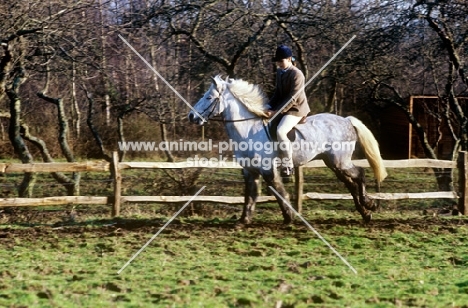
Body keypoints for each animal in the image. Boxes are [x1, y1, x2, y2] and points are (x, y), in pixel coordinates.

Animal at [187, 74, 388, 224]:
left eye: (209, 97)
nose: (191, 117)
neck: (248, 129)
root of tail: (346, 120)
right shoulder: (250, 170)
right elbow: (251, 195)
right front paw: (243, 220)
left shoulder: (267, 169)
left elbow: (279, 191)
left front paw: (289, 216)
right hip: (333, 163)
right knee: (350, 183)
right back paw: (366, 212)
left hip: (340, 161)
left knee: (360, 174)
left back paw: (369, 204)